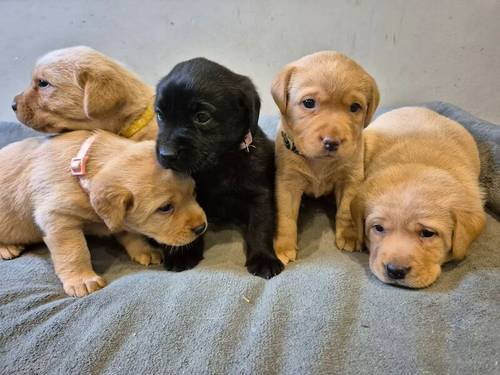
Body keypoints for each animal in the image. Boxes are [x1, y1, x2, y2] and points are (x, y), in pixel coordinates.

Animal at [0, 131, 207, 298]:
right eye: (165, 208)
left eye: (194, 192)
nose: (201, 227)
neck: (80, 170)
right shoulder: (57, 217)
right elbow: (74, 250)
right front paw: (82, 279)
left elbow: (130, 233)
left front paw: (144, 250)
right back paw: (7, 248)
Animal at [154, 56, 284, 280]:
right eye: (160, 115)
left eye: (202, 117)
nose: (166, 154)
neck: (219, 164)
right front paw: (182, 254)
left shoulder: (260, 195)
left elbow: (260, 227)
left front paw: (263, 258)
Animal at [274, 51, 378, 266]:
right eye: (309, 103)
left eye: (355, 107)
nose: (332, 142)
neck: (319, 162)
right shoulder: (287, 182)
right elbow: (286, 216)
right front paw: (283, 246)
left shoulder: (351, 179)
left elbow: (346, 210)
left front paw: (349, 235)